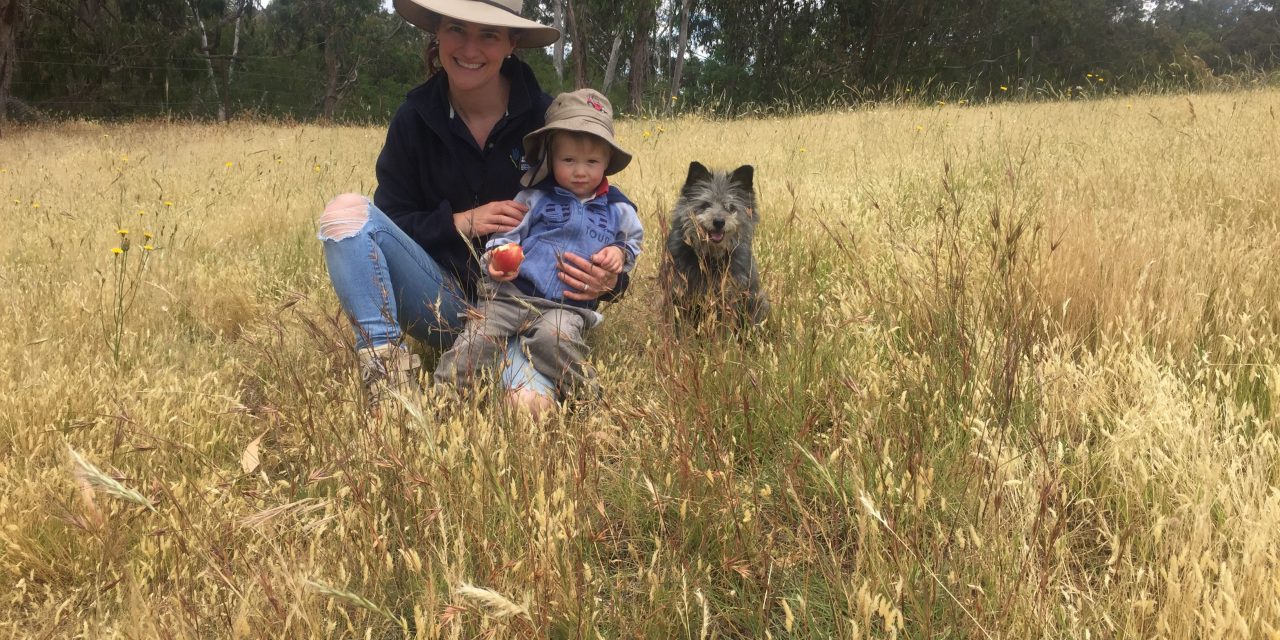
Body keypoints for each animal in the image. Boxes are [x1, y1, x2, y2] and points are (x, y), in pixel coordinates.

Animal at [660, 162, 768, 327]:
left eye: (730, 207)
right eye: (705, 204)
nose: (718, 222)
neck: (710, 257)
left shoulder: (727, 299)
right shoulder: (678, 294)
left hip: (756, 300)